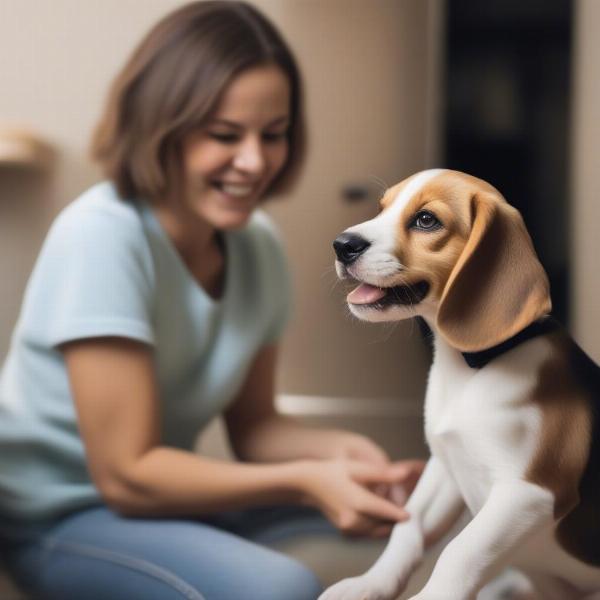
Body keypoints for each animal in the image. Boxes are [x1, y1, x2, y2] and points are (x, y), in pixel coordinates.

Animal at [322, 170, 600, 600]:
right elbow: (408, 527)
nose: (342, 245)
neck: (471, 369)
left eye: (426, 220)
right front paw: (369, 584)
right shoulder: (444, 466)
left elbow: (461, 550)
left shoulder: (532, 491)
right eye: (382, 208)